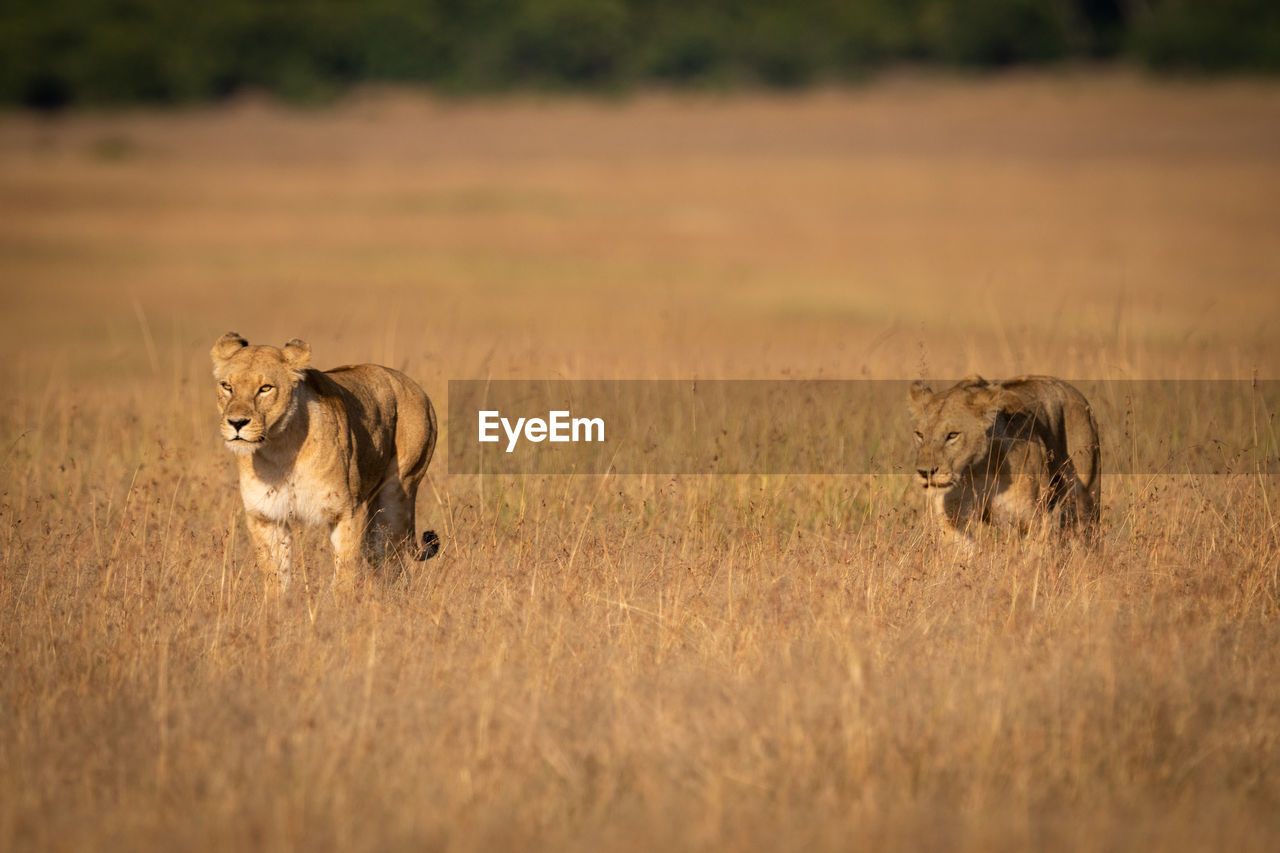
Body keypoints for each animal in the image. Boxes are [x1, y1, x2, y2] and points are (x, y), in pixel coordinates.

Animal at [211, 333, 440, 591]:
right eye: (227, 386)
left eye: (265, 388)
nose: (236, 422)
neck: (280, 449)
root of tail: (412, 384)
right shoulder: (266, 517)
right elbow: (275, 579)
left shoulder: (346, 512)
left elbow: (344, 576)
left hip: (397, 492)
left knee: (389, 559)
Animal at [911, 373, 1100, 545]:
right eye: (919, 434)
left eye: (952, 435)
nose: (925, 472)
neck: (977, 469)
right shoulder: (953, 519)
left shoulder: (1033, 518)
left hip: (1083, 498)